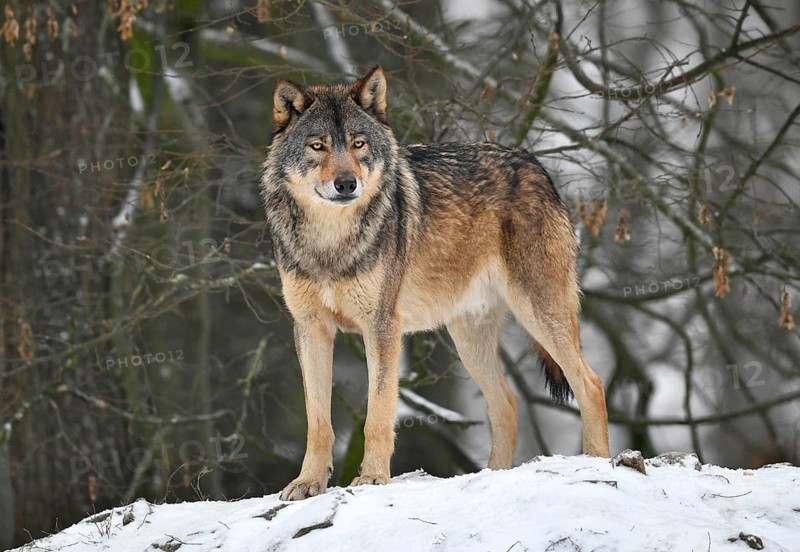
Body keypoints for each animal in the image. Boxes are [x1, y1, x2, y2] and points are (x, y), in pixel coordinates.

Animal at [261, 65, 610, 501]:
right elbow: (317, 421)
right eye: (317, 146)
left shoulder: (382, 328)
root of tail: (535, 164)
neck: (330, 243)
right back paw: (492, 476)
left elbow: (378, 415)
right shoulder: (310, 328)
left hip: (540, 314)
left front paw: (372, 478)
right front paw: (307, 483)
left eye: (358, 144)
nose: (346, 184)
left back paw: (597, 463)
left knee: (591, 385)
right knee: (507, 405)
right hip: (469, 339)